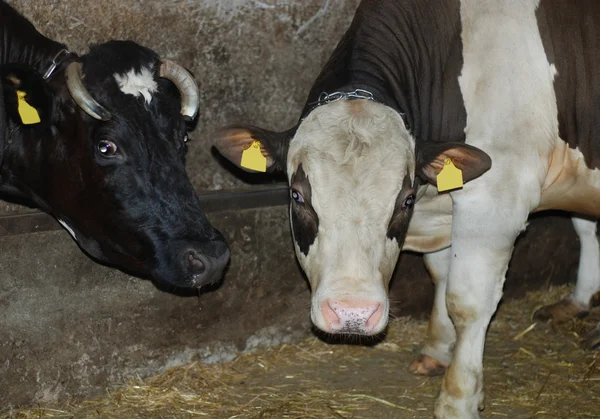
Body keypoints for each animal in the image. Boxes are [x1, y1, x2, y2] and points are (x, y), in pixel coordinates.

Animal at [214, 1, 600, 418]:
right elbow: (441, 277)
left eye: (405, 199)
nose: (352, 314)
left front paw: (458, 399)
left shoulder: (497, 195)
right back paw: (577, 304)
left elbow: (466, 301)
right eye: (297, 195)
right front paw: (437, 352)